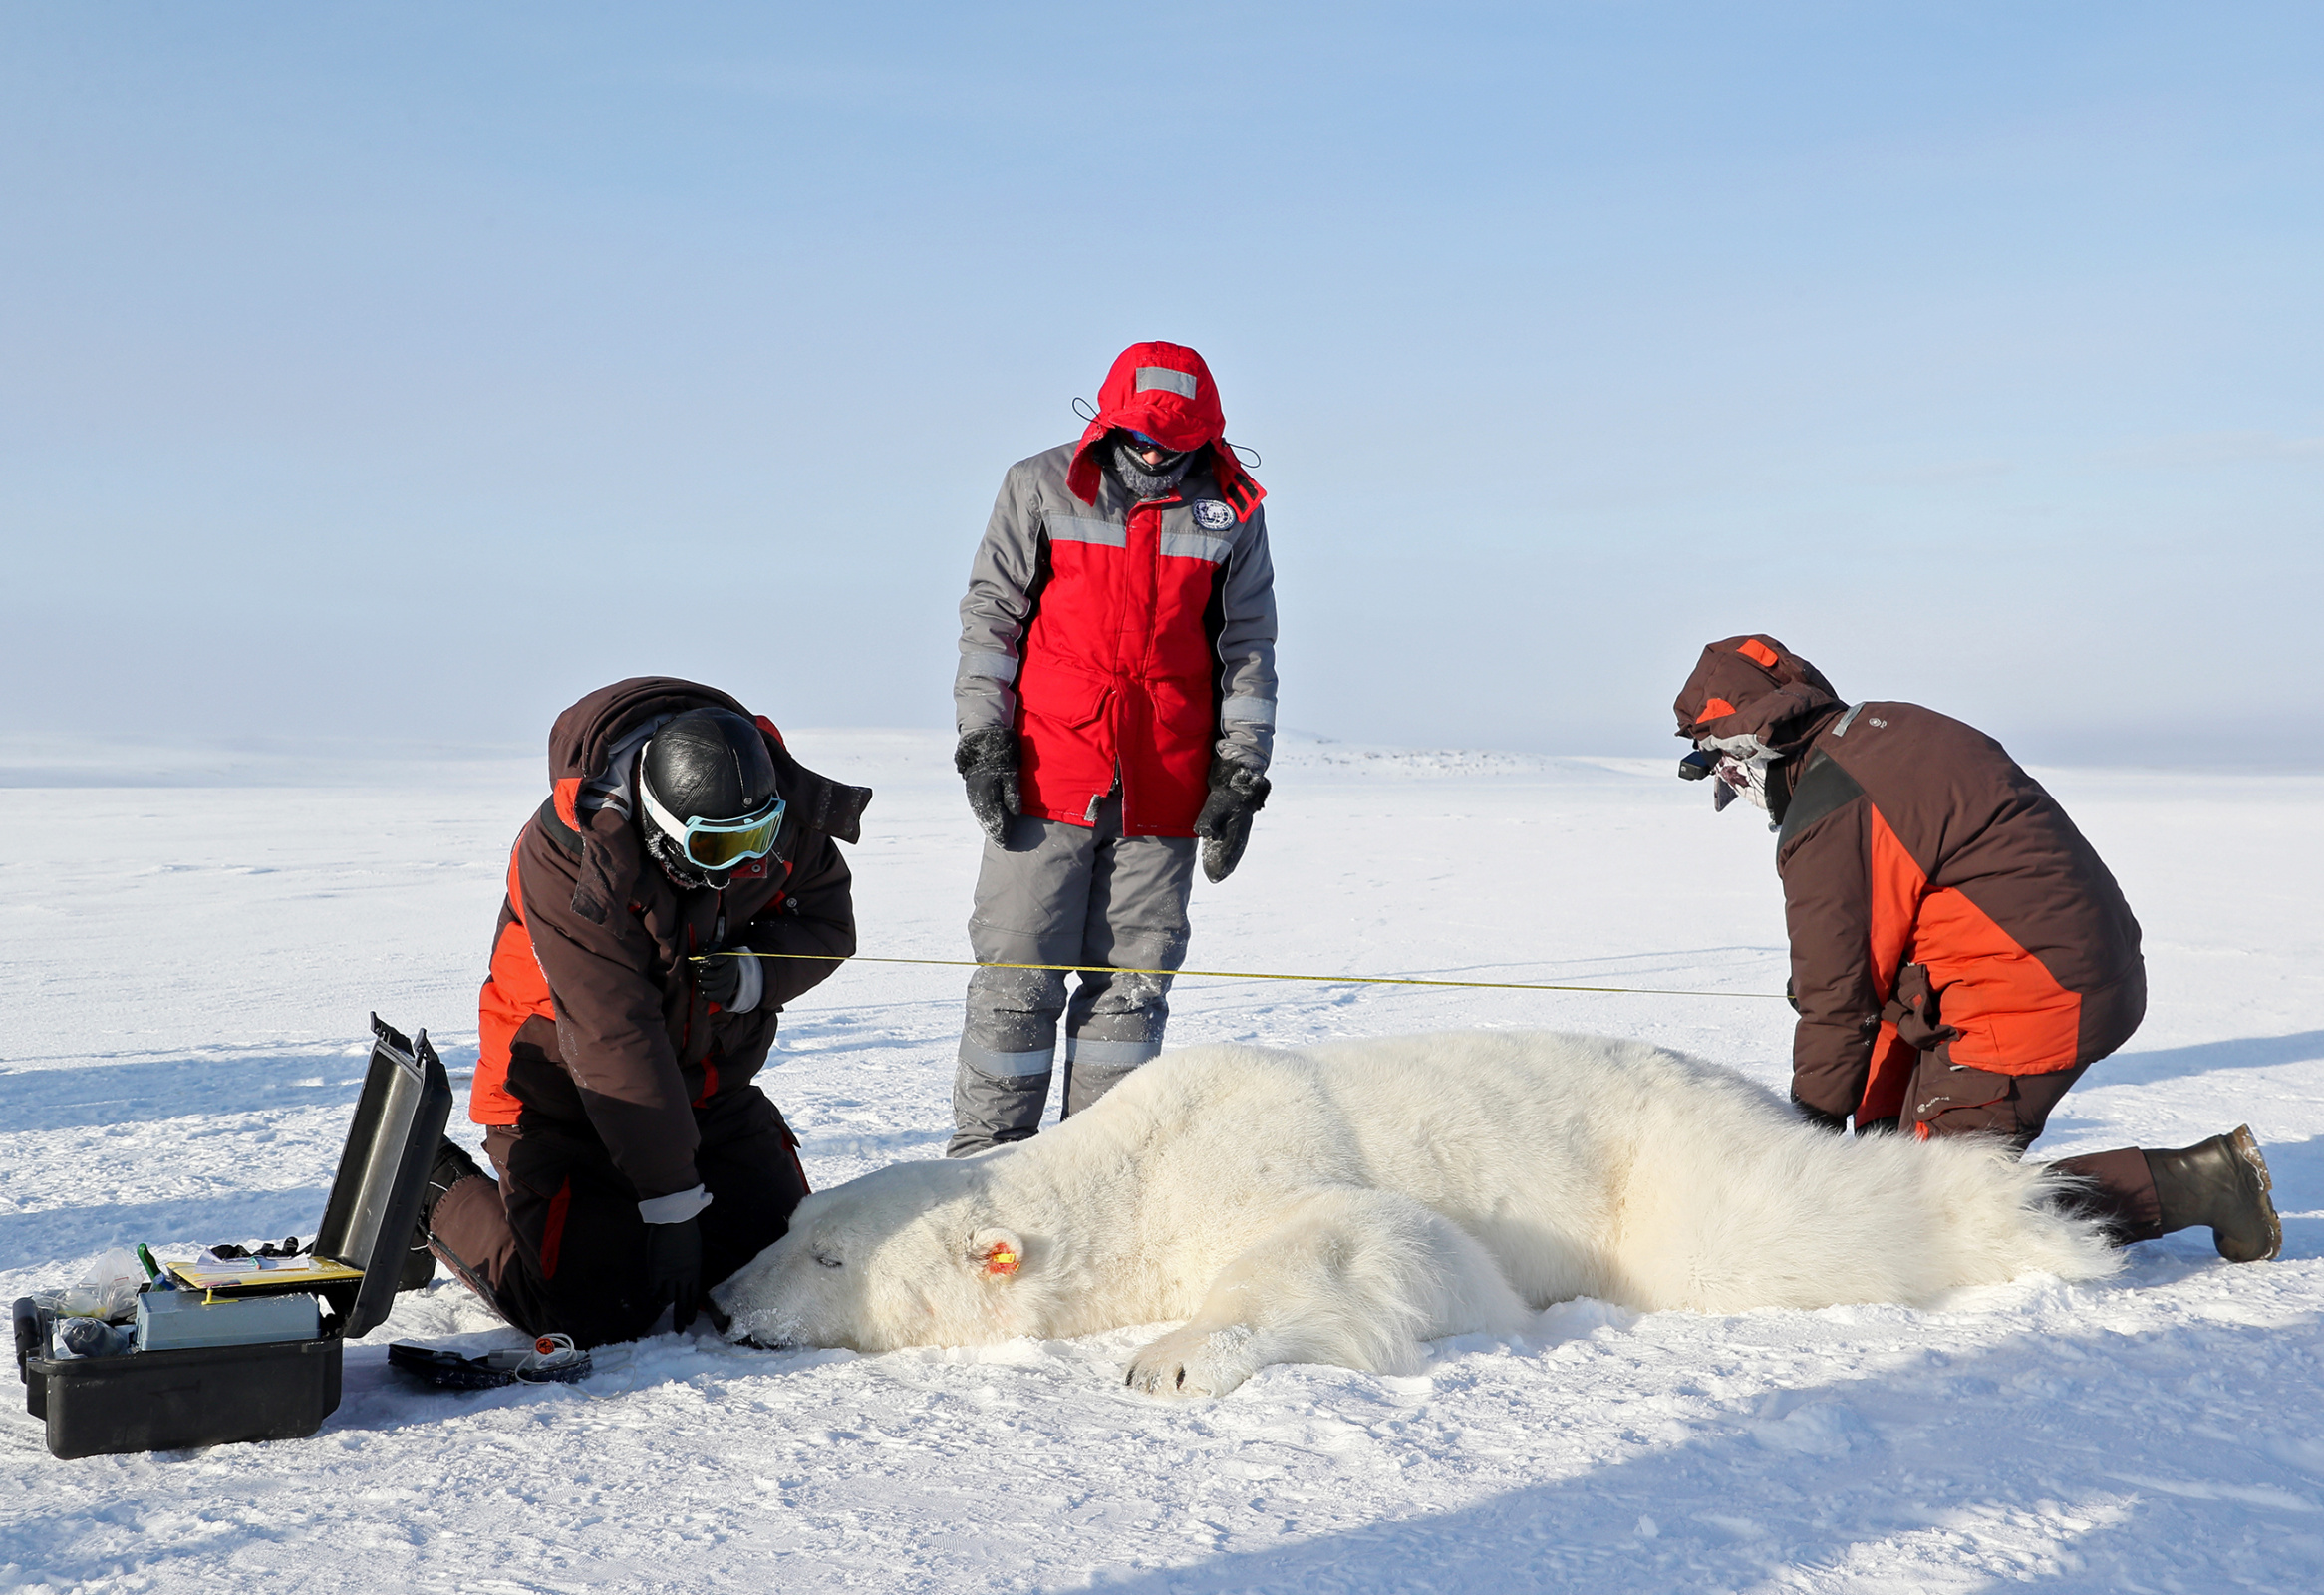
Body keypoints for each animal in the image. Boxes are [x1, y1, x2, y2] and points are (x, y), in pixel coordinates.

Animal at [716, 1037, 2119, 1395]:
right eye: (789, 1227)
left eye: (827, 1252)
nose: (722, 1301)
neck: (1132, 1165)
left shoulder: (1257, 1157)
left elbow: (1380, 1238)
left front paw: (1168, 1359)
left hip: (1660, 1168)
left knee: (1778, 1227)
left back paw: (2052, 1223)